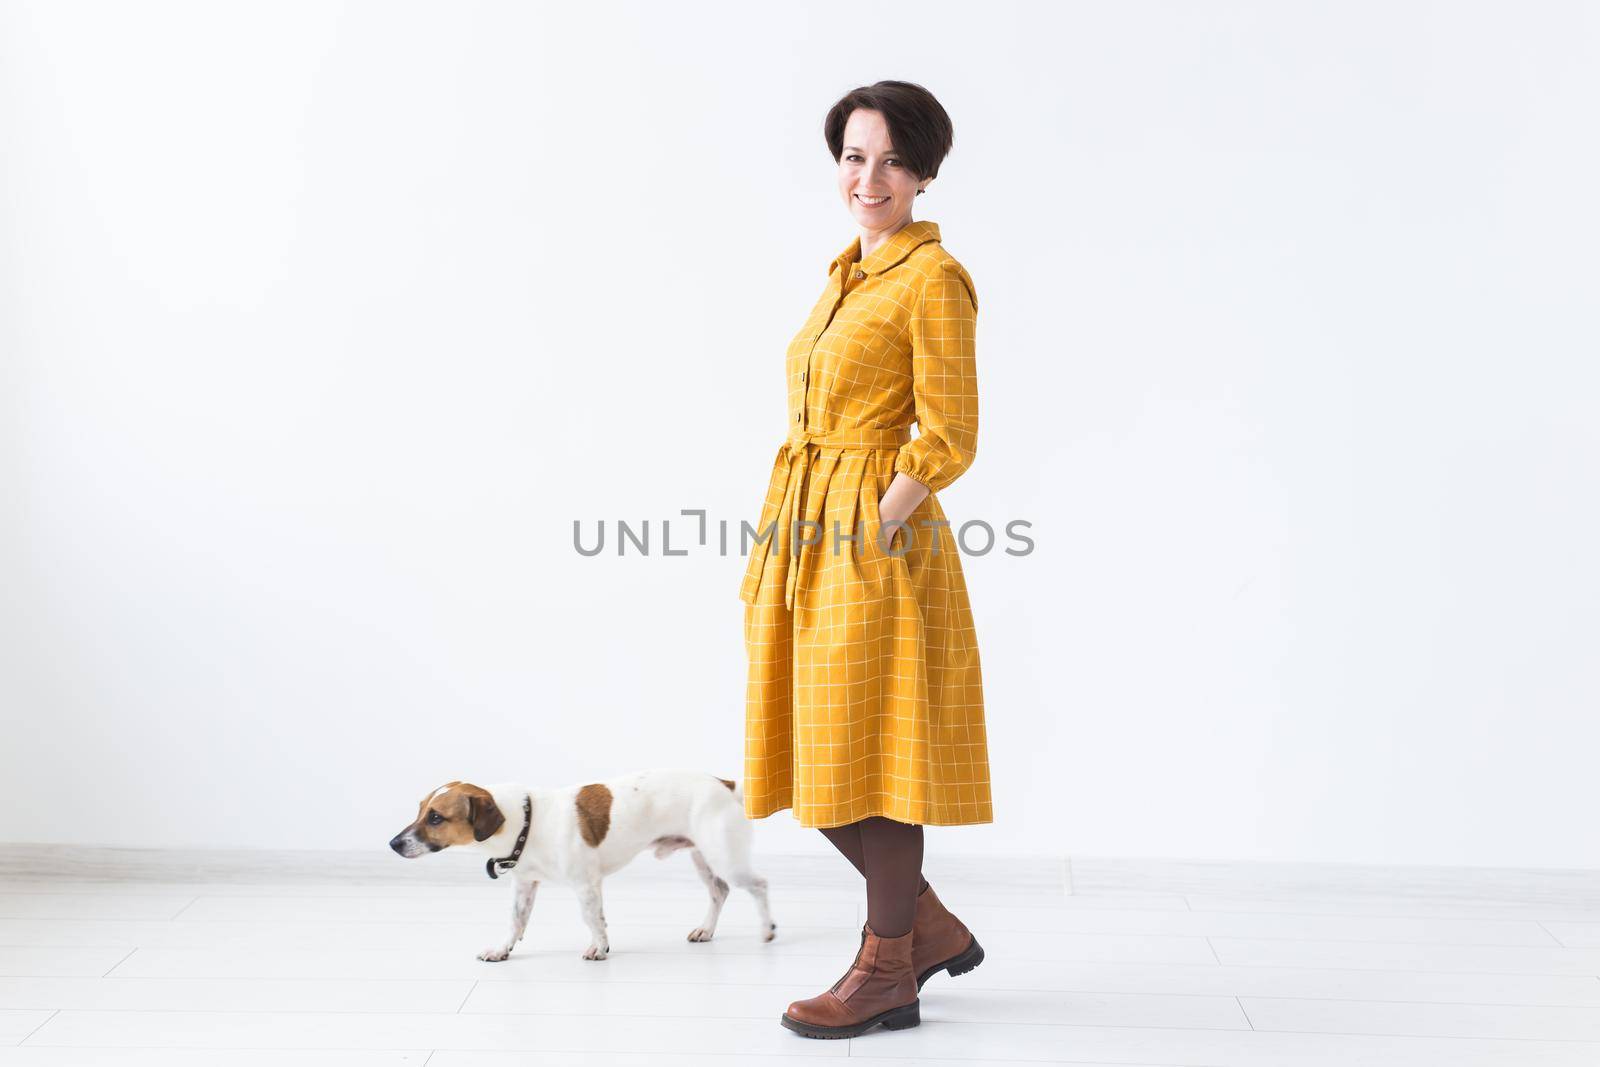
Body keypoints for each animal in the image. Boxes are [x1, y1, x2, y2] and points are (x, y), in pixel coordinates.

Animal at [387, 767, 774, 959]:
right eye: (420, 810)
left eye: (436, 818)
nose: (393, 844)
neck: (527, 821)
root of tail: (726, 784)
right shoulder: (524, 884)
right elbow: (515, 921)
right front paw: (502, 949)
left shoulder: (586, 884)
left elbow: (593, 919)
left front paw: (600, 948)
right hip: (704, 859)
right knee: (719, 892)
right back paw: (706, 930)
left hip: (724, 857)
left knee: (759, 885)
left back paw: (768, 929)